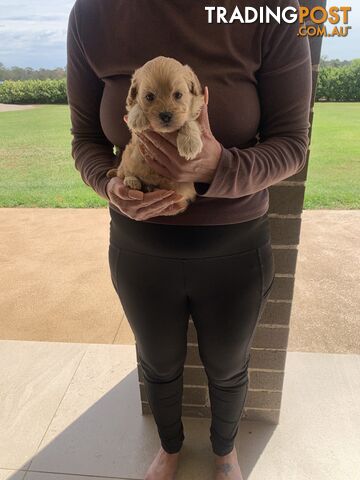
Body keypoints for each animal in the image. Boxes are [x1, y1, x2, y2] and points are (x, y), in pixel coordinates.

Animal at [105, 55, 204, 215]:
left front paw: (190, 144)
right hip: (128, 156)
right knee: (123, 172)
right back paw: (131, 181)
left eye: (178, 95)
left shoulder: (196, 108)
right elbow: (134, 106)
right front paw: (137, 117)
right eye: (149, 97)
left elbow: (189, 120)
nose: (165, 115)